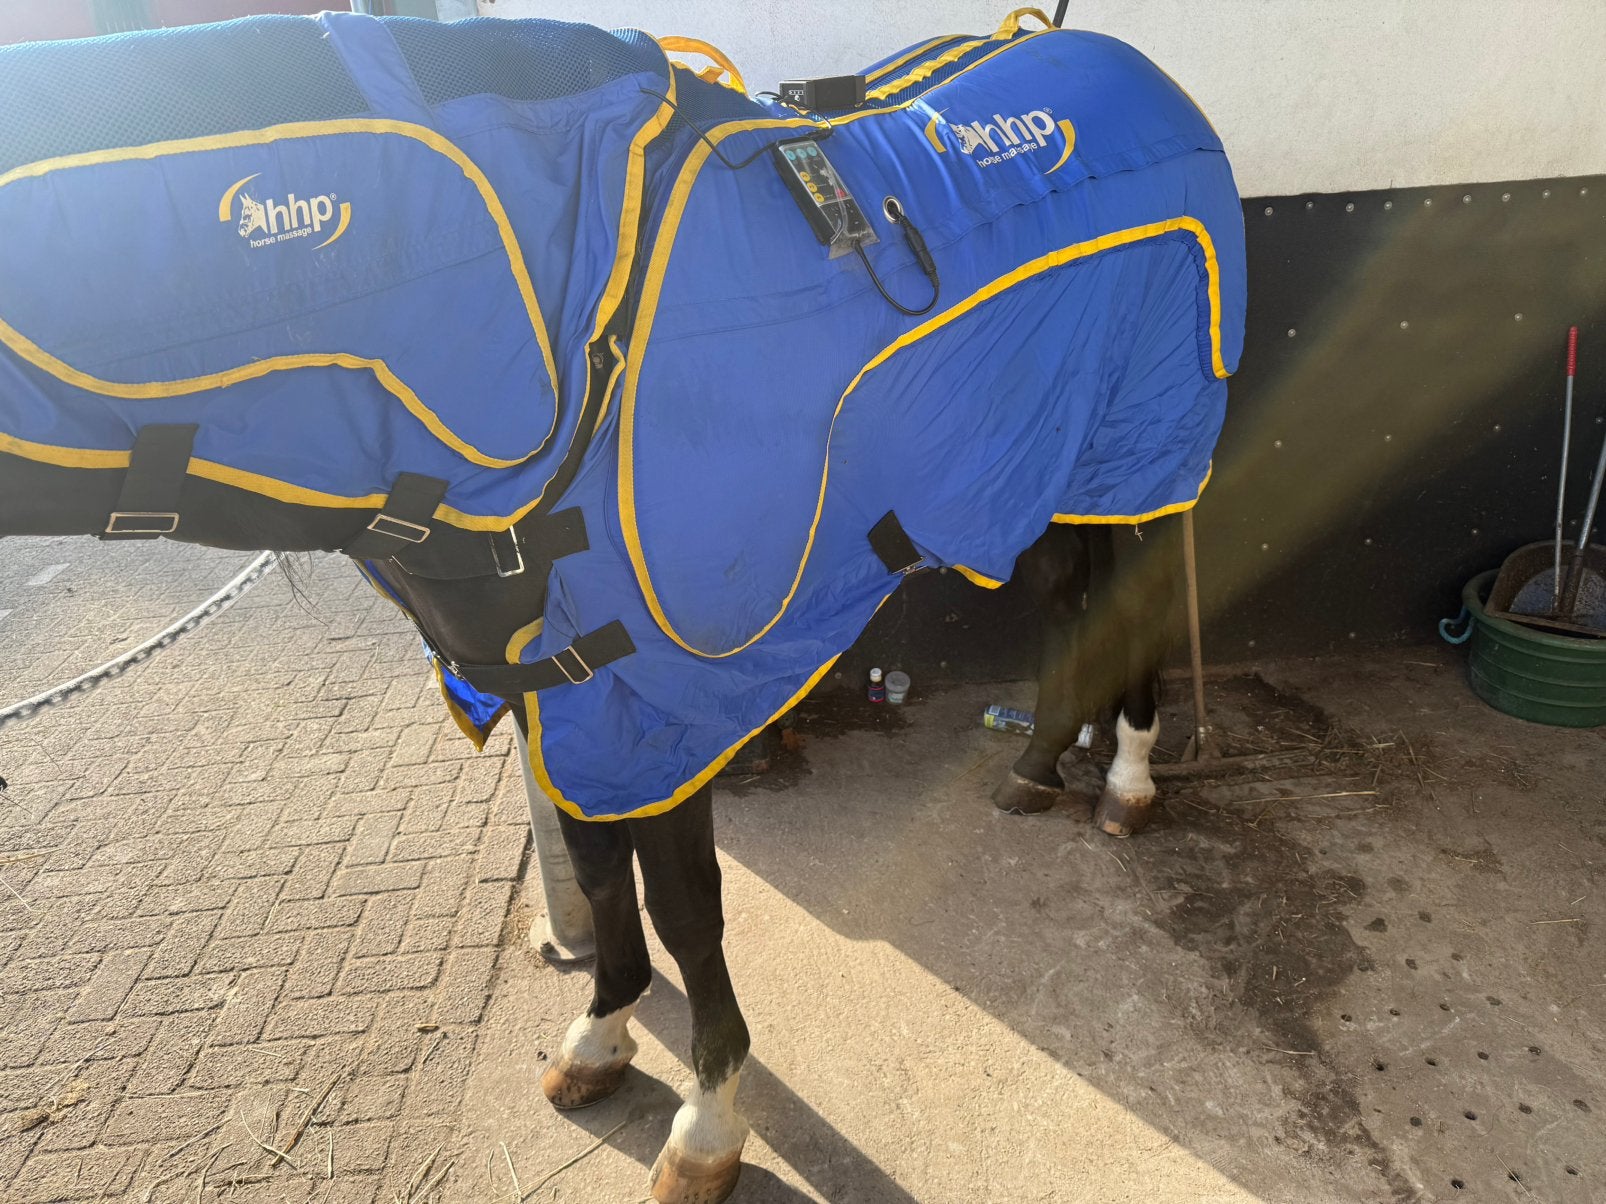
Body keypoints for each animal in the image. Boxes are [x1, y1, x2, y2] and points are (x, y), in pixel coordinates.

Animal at [0, 12, 1243, 1201]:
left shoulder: (662, 701)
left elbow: (686, 905)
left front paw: (706, 1124)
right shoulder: (565, 691)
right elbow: (599, 872)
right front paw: (600, 1036)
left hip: (1137, 444)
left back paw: (1127, 778)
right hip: (1038, 468)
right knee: (1071, 602)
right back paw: (1041, 764)